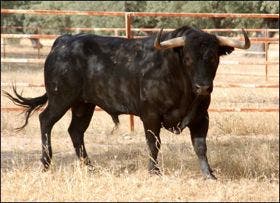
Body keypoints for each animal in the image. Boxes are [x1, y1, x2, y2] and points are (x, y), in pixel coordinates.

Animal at [3, 25, 249, 179]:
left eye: (214, 58)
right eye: (187, 58)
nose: (203, 87)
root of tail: (64, 41)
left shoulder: (201, 117)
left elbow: (200, 146)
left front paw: (209, 174)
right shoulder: (150, 115)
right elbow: (154, 144)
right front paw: (154, 172)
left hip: (83, 104)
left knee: (76, 131)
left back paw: (90, 167)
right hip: (60, 98)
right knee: (45, 120)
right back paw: (46, 163)